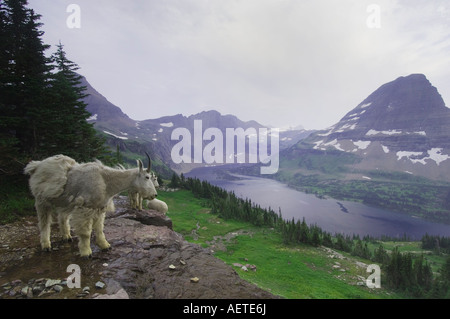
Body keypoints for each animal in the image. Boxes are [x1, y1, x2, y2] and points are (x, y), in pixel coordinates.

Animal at [25, 153, 158, 258]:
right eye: (147, 177)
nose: (154, 195)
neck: (106, 180)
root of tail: (36, 166)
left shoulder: (99, 208)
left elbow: (99, 229)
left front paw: (105, 246)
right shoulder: (85, 208)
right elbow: (86, 232)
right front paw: (86, 252)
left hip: (64, 202)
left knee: (63, 217)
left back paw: (66, 236)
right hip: (41, 200)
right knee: (44, 223)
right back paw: (46, 245)